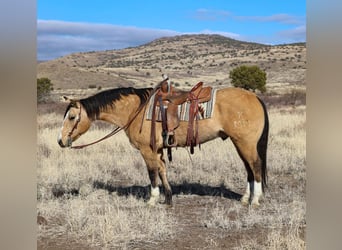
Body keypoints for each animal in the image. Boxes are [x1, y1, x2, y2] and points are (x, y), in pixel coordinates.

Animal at [57, 81, 268, 207]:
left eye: (72, 117)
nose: (60, 141)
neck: (136, 109)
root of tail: (255, 97)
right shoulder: (158, 149)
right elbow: (162, 170)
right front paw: (168, 197)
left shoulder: (146, 151)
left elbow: (152, 173)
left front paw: (152, 199)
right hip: (239, 143)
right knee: (249, 169)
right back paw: (245, 198)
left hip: (246, 143)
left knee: (255, 165)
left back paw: (255, 199)